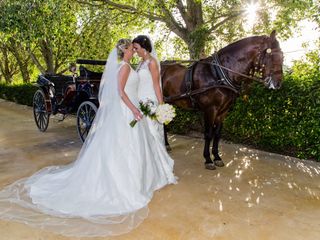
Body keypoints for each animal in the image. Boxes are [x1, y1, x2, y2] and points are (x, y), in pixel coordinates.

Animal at [161, 30, 284, 171]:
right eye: (271, 56)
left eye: (282, 56)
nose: (277, 84)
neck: (219, 74)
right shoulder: (210, 109)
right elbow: (209, 134)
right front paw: (208, 159)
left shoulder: (223, 111)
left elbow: (218, 133)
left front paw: (217, 157)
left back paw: (166, 144)